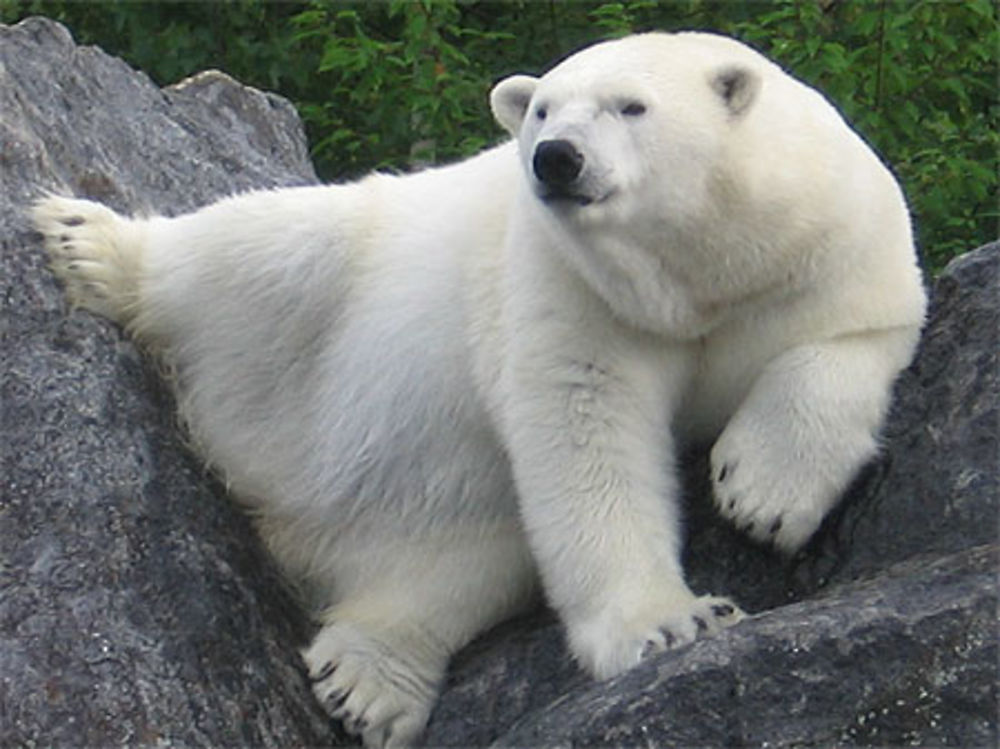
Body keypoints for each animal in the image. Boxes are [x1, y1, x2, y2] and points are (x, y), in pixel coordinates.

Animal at [31, 30, 924, 748]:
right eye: (542, 110)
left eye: (631, 106)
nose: (556, 158)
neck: (702, 267)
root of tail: (273, 506)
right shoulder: (561, 278)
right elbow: (585, 426)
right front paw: (673, 623)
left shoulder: (827, 241)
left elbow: (861, 334)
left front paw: (762, 497)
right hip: (343, 276)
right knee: (258, 250)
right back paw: (95, 247)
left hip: (439, 513)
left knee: (471, 565)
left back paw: (370, 680)